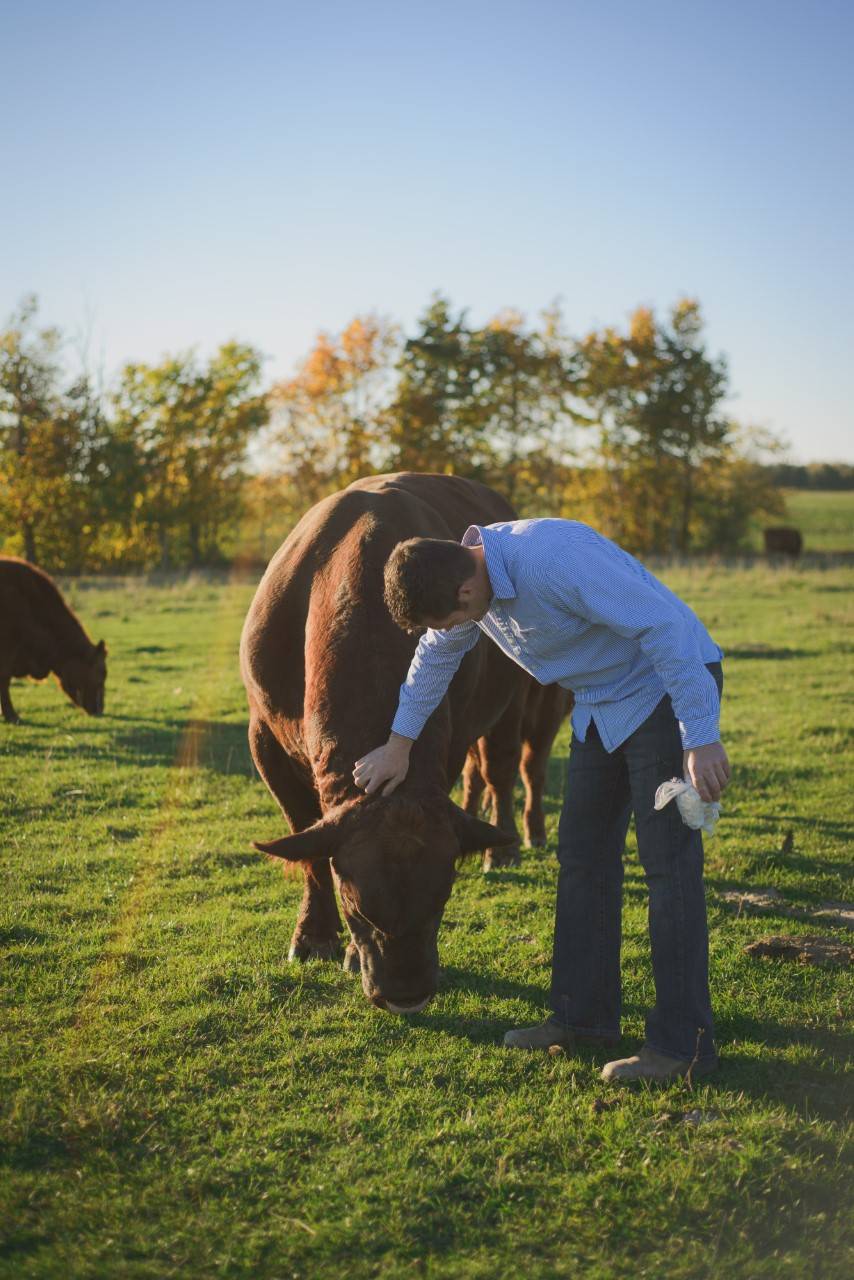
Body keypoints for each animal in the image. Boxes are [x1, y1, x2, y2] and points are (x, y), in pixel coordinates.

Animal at [240, 468, 571, 1008]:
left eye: (442, 899)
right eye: (355, 904)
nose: (406, 994)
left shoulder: (453, 738)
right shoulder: (264, 737)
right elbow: (306, 840)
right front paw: (314, 937)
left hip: (518, 705)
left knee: (507, 769)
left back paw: (503, 846)